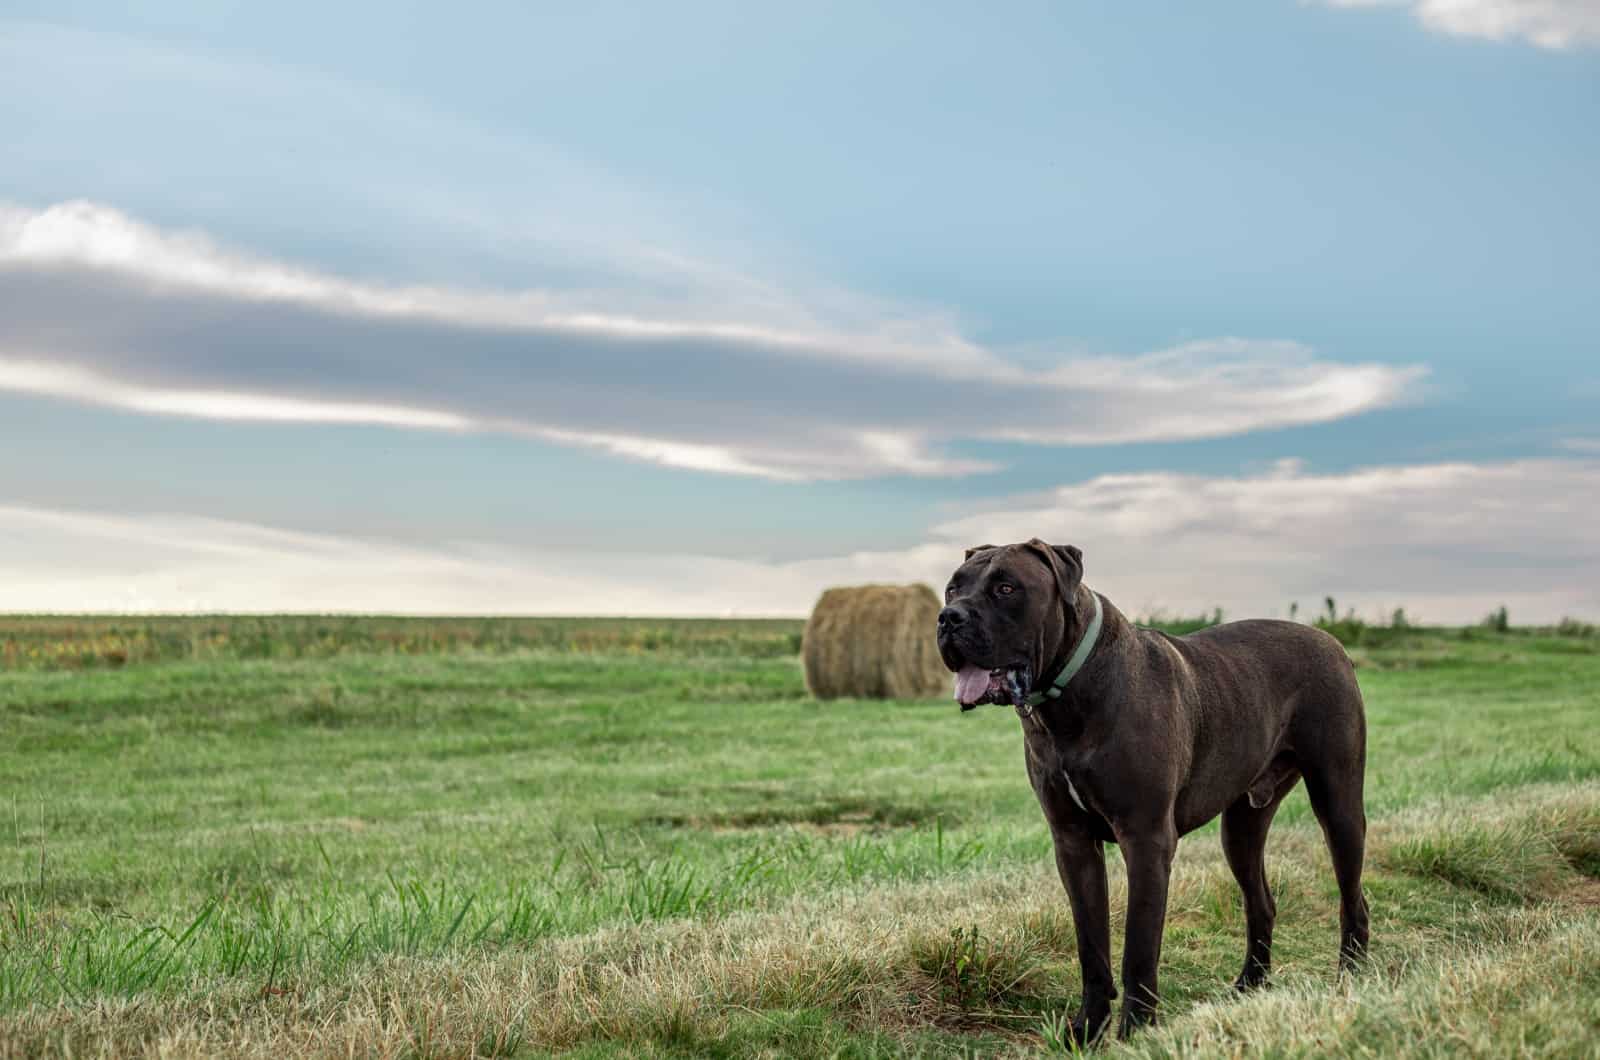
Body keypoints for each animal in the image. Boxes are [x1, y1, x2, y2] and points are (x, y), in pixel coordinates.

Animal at [934, 544, 1376, 1043]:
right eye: (952, 588)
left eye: (1006, 588)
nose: (948, 617)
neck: (1068, 697)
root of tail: (1331, 641)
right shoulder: (1072, 843)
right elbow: (1092, 945)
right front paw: (1088, 1028)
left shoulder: (1145, 839)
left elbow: (1139, 947)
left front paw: (1136, 1030)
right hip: (1241, 828)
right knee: (1260, 902)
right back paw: (1249, 985)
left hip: (1338, 802)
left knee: (1353, 899)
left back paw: (1349, 980)